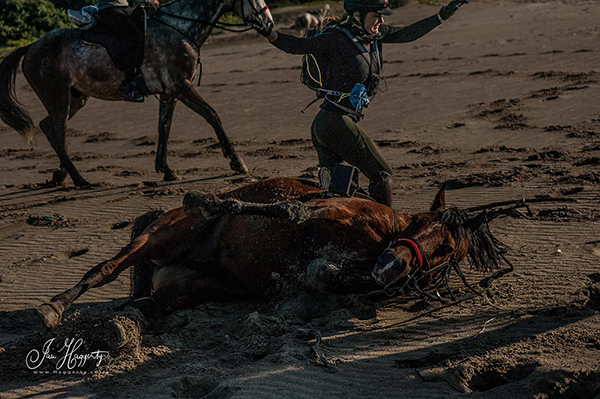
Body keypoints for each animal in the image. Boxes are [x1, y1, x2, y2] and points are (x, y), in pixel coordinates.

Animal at [0, 0, 274, 186]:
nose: (269, 24)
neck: (179, 28)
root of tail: (31, 46)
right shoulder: (182, 86)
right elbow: (212, 115)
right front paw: (237, 162)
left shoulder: (170, 93)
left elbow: (164, 128)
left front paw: (166, 170)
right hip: (57, 98)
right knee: (58, 132)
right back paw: (80, 180)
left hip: (74, 99)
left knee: (50, 128)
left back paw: (61, 174)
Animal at [36, 177, 510, 328]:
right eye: (424, 227)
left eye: (448, 253)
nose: (392, 266)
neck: (382, 236)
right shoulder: (332, 210)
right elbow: (289, 209)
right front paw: (211, 201)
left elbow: (322, 273)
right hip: (160, 236)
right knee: (106, 269)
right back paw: (54, 307)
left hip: (187, 284)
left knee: (152, 298)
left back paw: (129, 318)